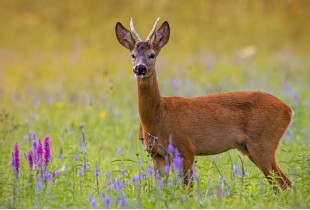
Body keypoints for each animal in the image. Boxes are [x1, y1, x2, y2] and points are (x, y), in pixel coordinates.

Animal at [116, 17, 294, 189]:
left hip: (262, 144)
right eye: (133, 55)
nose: (140, 68)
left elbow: (188, 189)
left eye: (152, 55)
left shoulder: (186, 149)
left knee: (285, 183)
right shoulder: (157, 154)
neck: (159, 116)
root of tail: (288, 110)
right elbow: (160, 189)